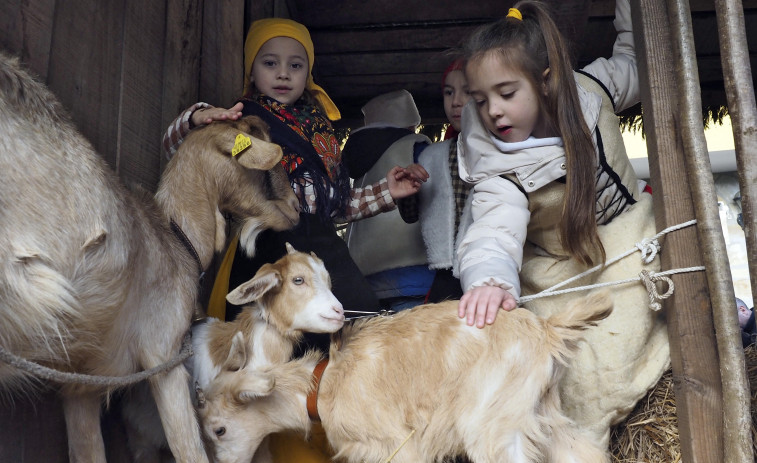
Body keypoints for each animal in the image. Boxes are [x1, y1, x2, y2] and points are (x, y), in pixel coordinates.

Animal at [0, 54, 302, 463]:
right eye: (264, 152)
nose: (297, 207)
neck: (175, 238)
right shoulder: (165, 355)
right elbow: (189, 449)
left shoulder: (81, 386)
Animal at [198, 294, 612, 463]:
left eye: (218, 429)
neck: (323, 385)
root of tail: (547, 330)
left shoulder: (394, 445)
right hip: (539, 413)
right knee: (582, 453)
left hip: (492, 427)